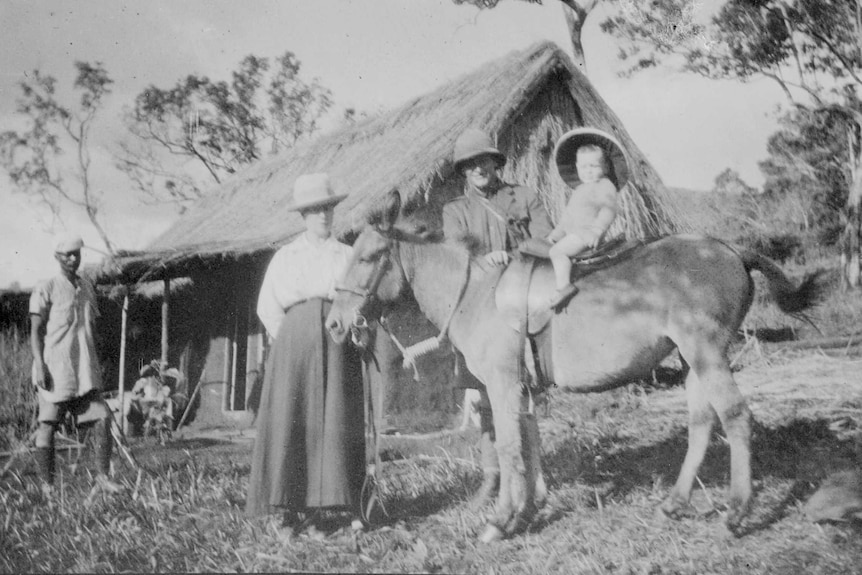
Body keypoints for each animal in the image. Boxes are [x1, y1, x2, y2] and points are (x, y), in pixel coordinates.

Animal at [328, 190, 828, 544]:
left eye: (368, 258)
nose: (334, 323)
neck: (478, 295)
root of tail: (730, 249)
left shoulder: (502, 385)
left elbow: (508, 448)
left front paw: (502, 520)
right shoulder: (522, 388)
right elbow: (529, 443)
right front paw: (529, 508)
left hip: (708, 355)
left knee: (737, 418)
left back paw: (738, 512)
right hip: (693, 360)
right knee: (702, 422)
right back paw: (675, 502)